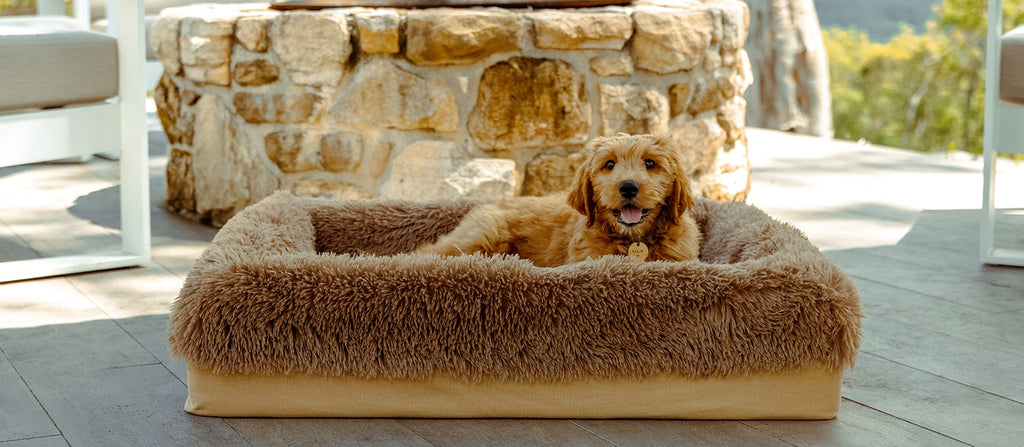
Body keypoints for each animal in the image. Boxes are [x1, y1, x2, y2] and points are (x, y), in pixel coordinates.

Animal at [413, 131, 696, 263]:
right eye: (609, 165)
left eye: (650, 163)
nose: (628, 187)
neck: (634, 241)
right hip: (483, 235)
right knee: (428, 252)